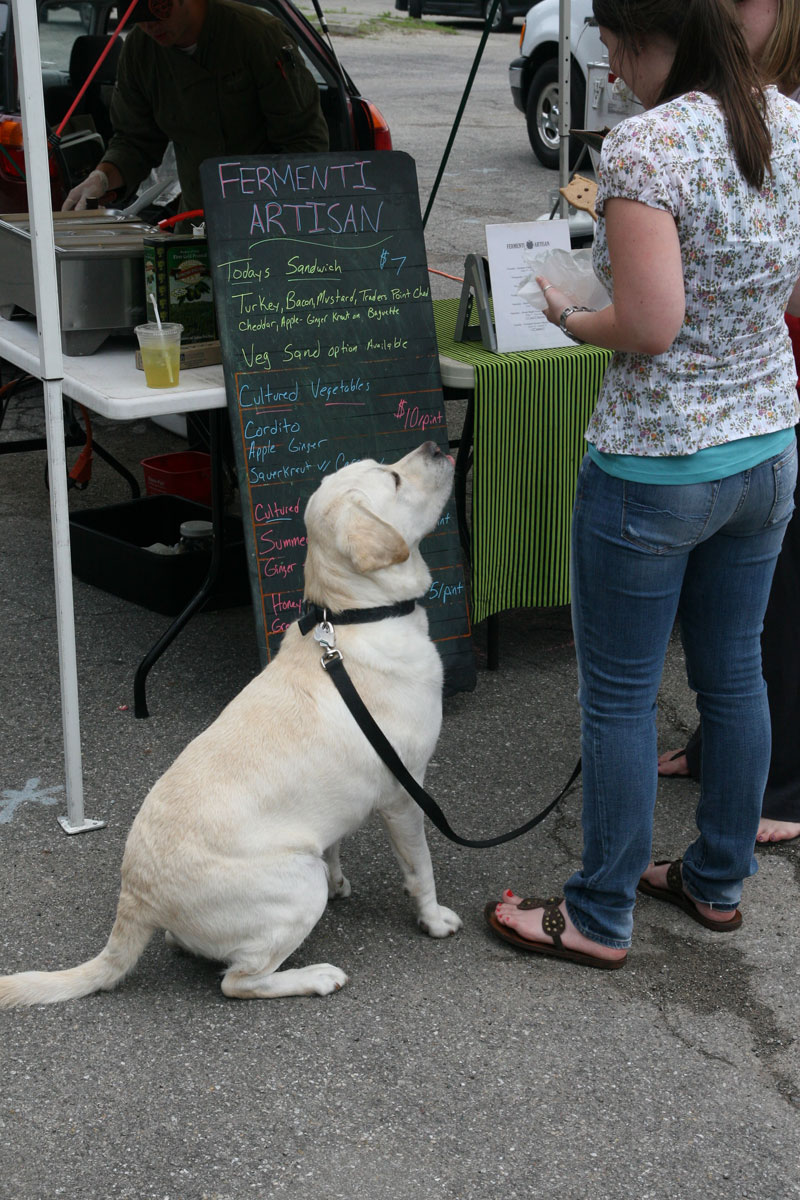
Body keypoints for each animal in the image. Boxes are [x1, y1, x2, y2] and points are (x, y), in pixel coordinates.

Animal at [0, 439, 462, 1003]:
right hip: (295, 883)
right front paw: (433, 919)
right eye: (393, 479)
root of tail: (137, 895)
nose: (437, 444)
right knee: (238, 982)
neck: (354, 617)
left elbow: (334, 843)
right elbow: (422, 869)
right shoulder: (405, 793)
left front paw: (341, 880)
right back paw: (314, 976)